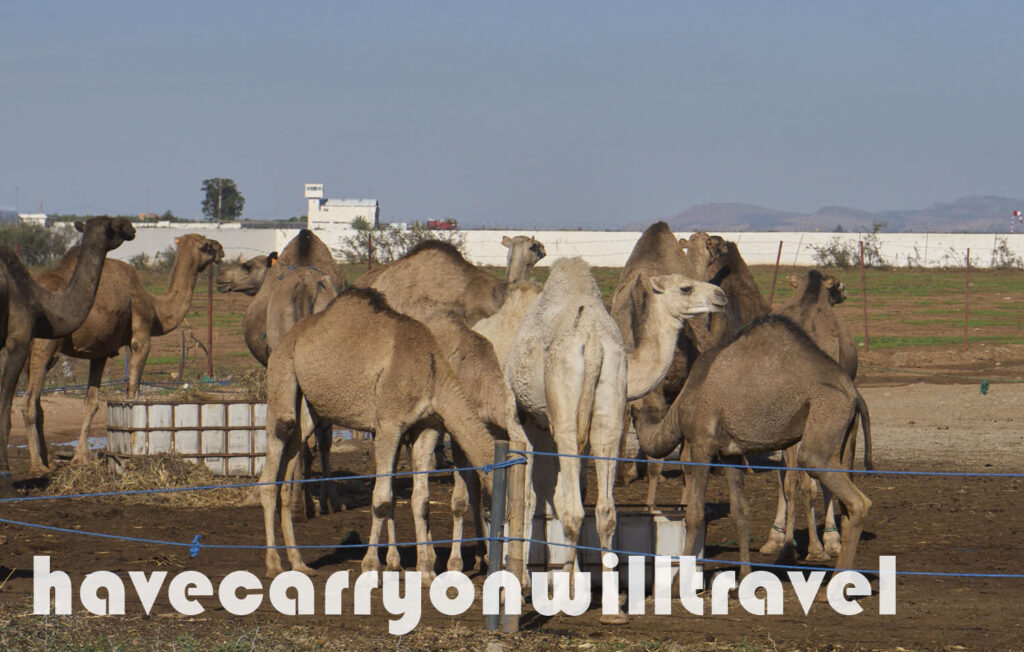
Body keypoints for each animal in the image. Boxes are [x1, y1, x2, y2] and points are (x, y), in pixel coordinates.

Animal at [21, 234, 224, 471]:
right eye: (207, 245)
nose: (221, 249)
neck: (156, 309)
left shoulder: (99, 351)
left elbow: (91, 403)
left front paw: (80, 458)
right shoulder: (141, 337)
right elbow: (133, 391)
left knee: (37, 402)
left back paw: (48, 461)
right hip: (45, 345)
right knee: (28, 402)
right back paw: (37, 465)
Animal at [260, 287, 496, 578]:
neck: (430, 370)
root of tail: (287, 339)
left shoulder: (428, 426)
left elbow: (421, 500)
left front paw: (426, 571)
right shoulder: (389, 424)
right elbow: (381, 499)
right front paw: (371, 565)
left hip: (309, 405)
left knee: (290, 461)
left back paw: (299, 563)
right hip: (282, 375)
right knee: (275, 452)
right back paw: (273, 564)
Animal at [503, 258, 723, 621]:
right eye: (685, 288)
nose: (720, 295)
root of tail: (592, 342)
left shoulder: (531, 419)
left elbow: (544, 498)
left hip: (568, 414)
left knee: (577, 508)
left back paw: (574, 597)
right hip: (596, 407)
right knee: (594, 508)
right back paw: (605, 606)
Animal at [644, 315, 872, 577]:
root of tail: (855, 395)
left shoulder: (702, 442)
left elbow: (694, 513)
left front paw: (678, 581)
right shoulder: (730, 454)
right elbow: (740, 512)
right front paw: (744, 574)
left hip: (824, 427)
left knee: (857, 501)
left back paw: (835, 578)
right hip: (845, 439)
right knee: (845, 505)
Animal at [759, 270, 872, 561]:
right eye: (838, 286)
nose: (845, 291)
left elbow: (788, 477)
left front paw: (780, 538)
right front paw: (831, 539)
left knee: (789, 478)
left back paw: (785, 544)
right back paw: (818, 546)